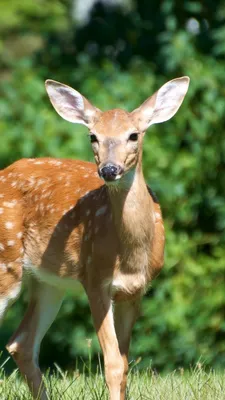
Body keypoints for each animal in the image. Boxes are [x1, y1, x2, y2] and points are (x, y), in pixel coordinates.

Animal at [0, 76, 189, 400]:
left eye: (134, 135)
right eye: (93, 136)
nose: (109, 169)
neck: (129, 256)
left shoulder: (135, 290)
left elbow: (124, 365)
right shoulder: (94, 278)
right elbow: (112, 364)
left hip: (49, 281)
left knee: (21, 343)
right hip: (6, 262)